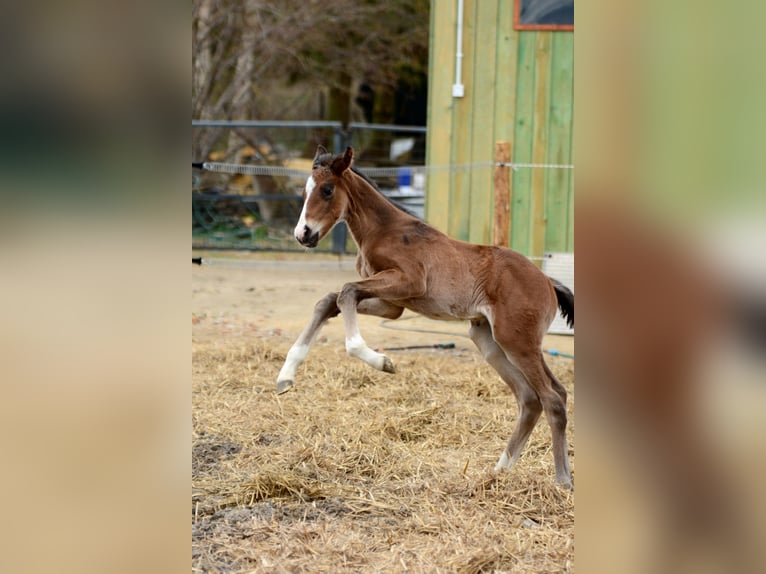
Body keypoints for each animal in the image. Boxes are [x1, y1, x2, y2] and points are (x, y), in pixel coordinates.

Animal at [276, 145, 575, 489]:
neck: (384, 230)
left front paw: (382, 361)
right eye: (304, 191)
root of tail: (548, 282)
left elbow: (346, 292)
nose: (303, 234)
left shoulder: (407, 282)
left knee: (552, 398)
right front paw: (285, 376)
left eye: (327, 190)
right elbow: (331, 299)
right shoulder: (392, 304)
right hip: (488, 339)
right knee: (531, 398)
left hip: (517, 341)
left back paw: (562, 481)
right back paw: (499, 471)